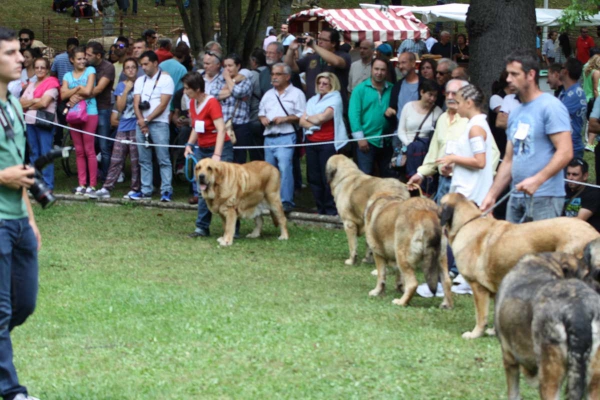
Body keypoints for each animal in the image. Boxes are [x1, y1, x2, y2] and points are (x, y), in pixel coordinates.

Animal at [436, 192, 600, 340]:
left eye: (439, 203)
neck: (466, 223)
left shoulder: (478, 288)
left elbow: (481, 316)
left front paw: (475, 334)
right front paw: (494, 332)